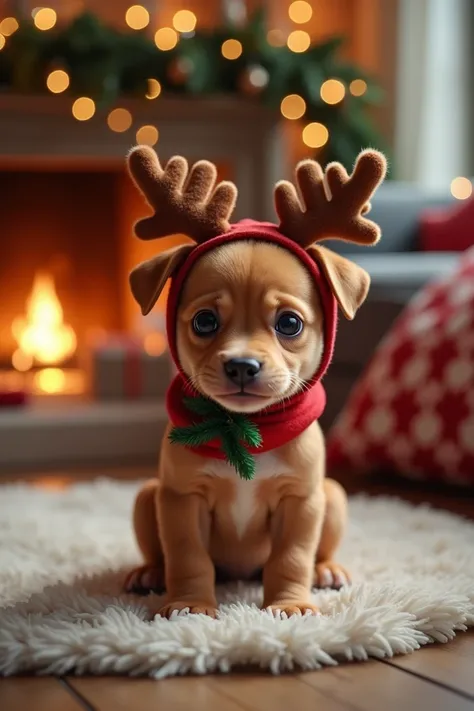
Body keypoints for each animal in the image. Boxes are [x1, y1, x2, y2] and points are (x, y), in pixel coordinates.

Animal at [123, 146, 386, 616]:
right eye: (205, 321)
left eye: (290, 323)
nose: (243, 366)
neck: (246, 431)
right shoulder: (180, 500)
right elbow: (187, 557)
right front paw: (189, 605)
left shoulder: (301, 502)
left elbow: (292, 558)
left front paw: (290, 605)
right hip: (146, 497)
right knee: (160, 553)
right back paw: (149, 574)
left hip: (333, 496)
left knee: (319, 552)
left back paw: (327, 572)